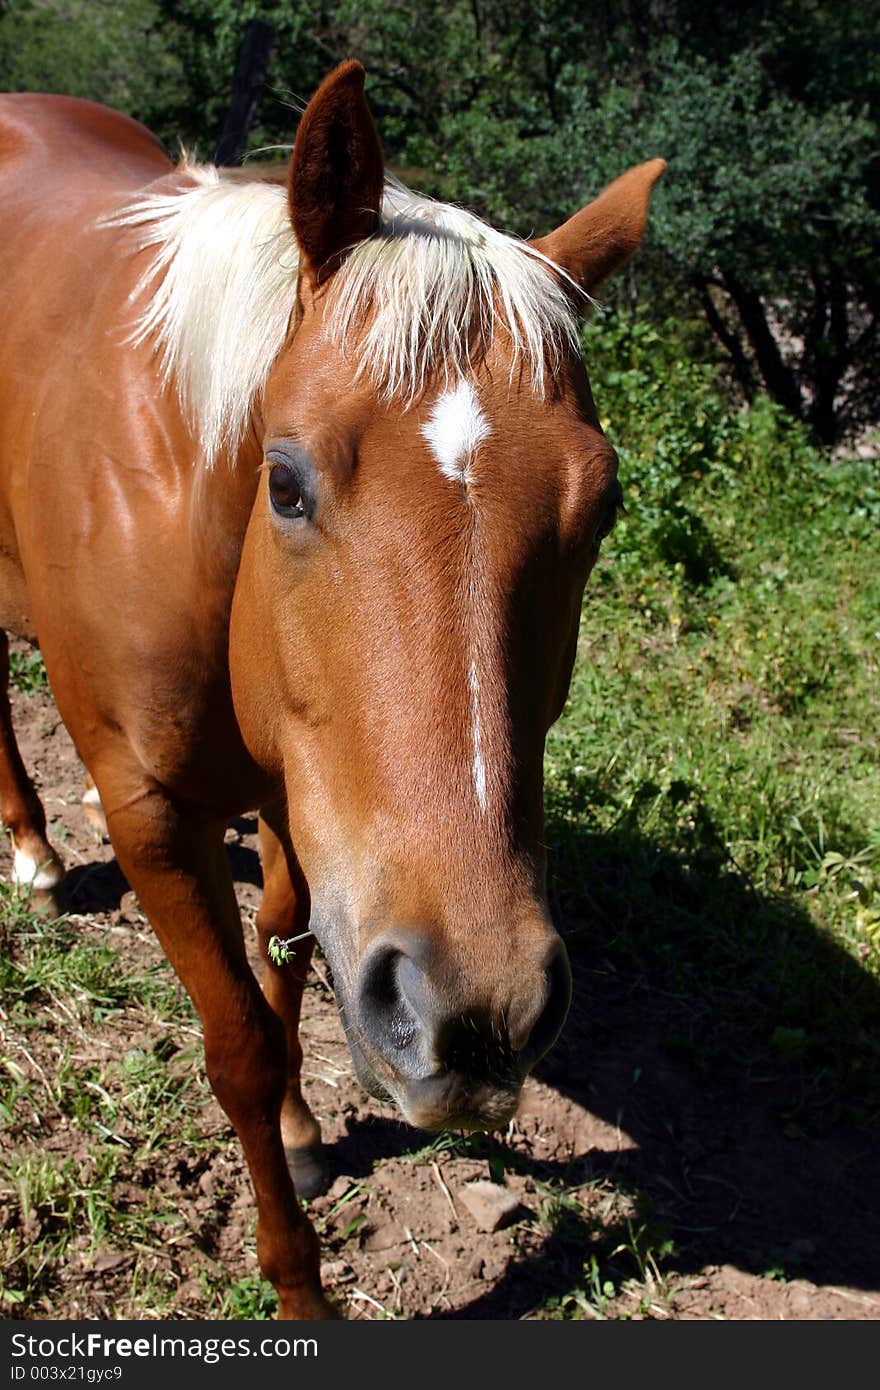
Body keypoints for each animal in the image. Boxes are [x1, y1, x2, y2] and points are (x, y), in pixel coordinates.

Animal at [0, 59, 661, 1317]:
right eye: (287, 481)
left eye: (600, 508)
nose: (477, 1011)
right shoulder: (152, 815)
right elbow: (240, 1047)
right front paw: (297, 1279)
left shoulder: (305, 794)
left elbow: (287, 950)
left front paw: (309, 1129)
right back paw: (33, 851)